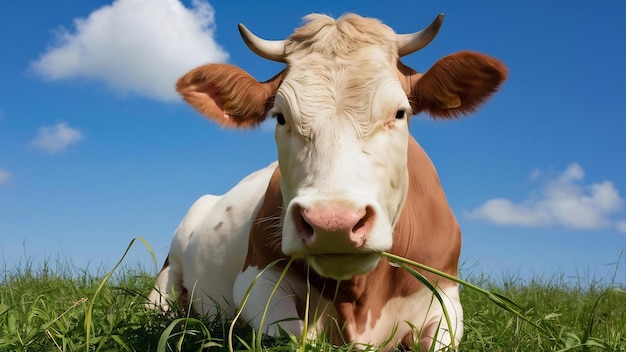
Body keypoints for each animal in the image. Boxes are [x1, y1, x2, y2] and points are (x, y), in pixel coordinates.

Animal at [147, 12, 508, 350]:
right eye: (280, 117)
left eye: (399, 113)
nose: (333, 222)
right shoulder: (256, 277)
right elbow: (290, 333)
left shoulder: (446, 294)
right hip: (168, 271)